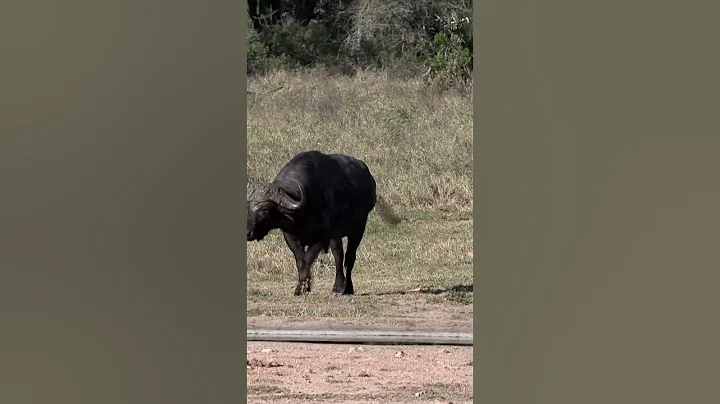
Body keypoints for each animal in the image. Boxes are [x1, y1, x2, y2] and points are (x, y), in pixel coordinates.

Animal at [247, 150, 400, 296]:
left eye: (265, 209)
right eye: (249, 207)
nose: (248, 232)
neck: (302, 212)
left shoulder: (322, 237)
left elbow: (308, 260)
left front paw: (301, 288)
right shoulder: (290, 237)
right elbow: (300, 261)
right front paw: (304, 287)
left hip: (358, 228)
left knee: (348, 257)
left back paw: (344, 288)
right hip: (337, 235)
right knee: (339, 254)